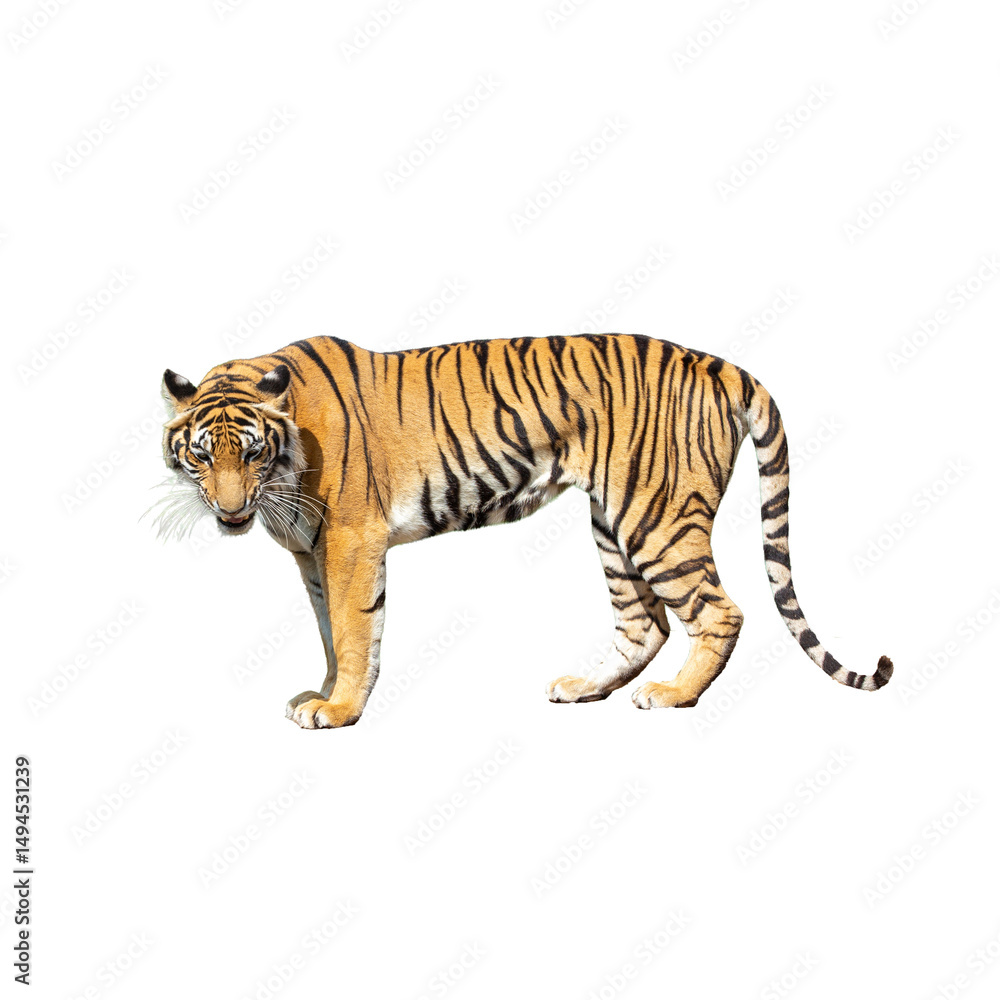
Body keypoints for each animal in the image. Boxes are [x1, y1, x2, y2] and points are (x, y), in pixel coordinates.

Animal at [158, 333, 892, 729]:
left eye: (251, 452)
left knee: (720, 612)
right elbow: (330, 630)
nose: (230, 512)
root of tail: (714, 362)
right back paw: (582, 688)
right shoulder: (311, 550)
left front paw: (338, 710)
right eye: (203, 455)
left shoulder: (349, 540)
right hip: (613, 521)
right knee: (644, 623)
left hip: (657, 517)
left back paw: (672, 696)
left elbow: (355, 627)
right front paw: (323, 692)